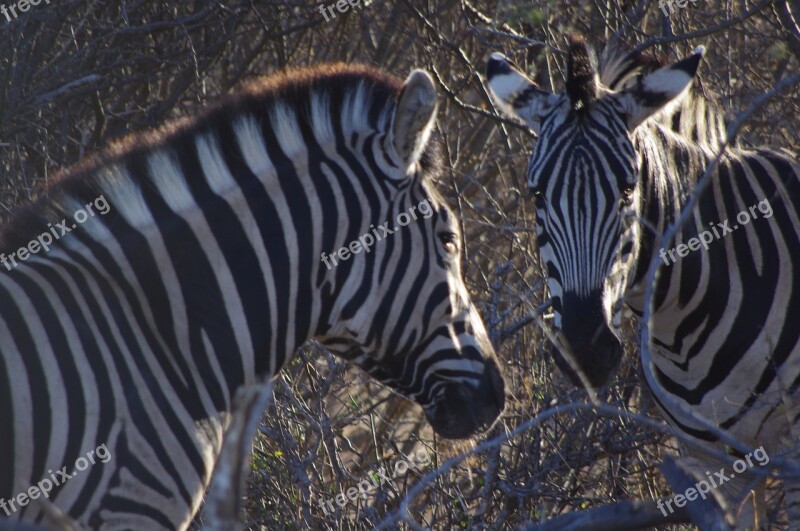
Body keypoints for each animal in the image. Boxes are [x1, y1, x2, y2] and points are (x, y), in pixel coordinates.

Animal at [488, 38, 800, 528]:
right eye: (537, 195)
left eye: (627, 190)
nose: (585, 350)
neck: (682, 328)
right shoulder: (706, 460)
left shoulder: (792, 448)